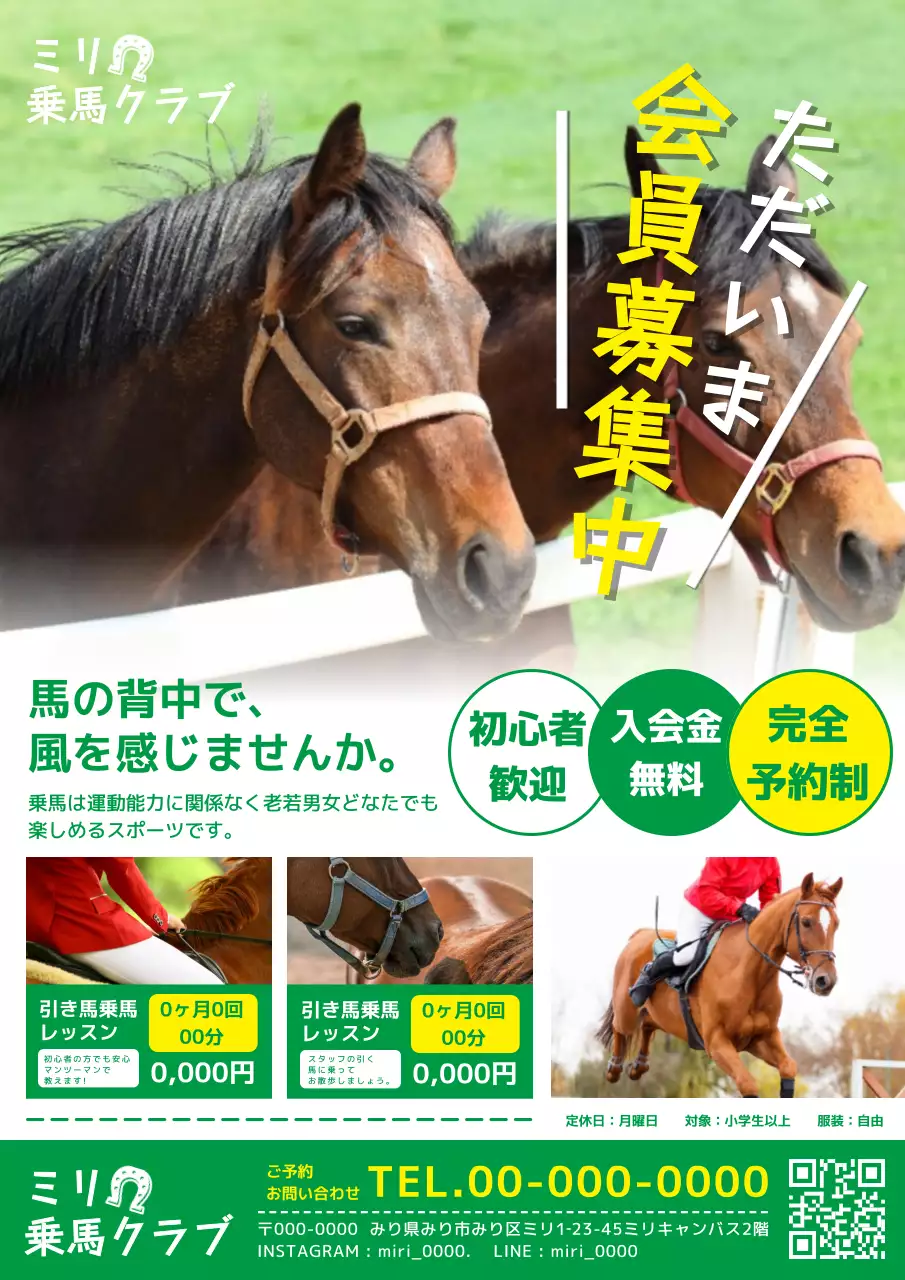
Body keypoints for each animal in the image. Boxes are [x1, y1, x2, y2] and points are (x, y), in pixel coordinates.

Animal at [599, 874, 842, 1098]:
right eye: (807, 922)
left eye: (836, 924)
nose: (825, 981)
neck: (750, 976)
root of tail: (640, 934)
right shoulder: (717, 1043)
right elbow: (748, 1084)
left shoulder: (762, 1038)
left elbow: (788, 1067)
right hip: (627, 1009)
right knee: (621, 1026)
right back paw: (614, 1067)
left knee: (648, 1023)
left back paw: (639, 1066)